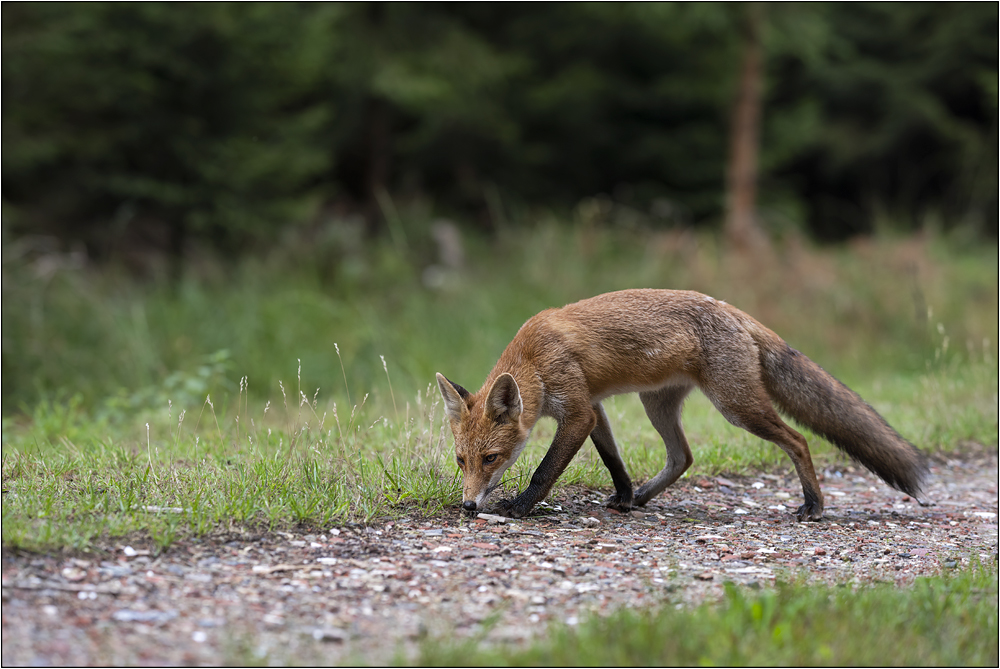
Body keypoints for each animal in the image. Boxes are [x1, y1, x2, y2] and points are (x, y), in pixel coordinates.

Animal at [438, 290, 928, 520]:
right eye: (461, 461)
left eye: (491, 458)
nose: (468, 507)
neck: (534, 360)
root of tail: (735, 311)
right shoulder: (594, 409)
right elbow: (614, 460)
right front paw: (625, 495)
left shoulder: (577, 412)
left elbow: (544, 471)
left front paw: (520, 507)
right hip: (656, 404)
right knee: (683, 457)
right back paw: (642, 497)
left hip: (736, 406)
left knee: (798, 440)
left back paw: (813, 504)